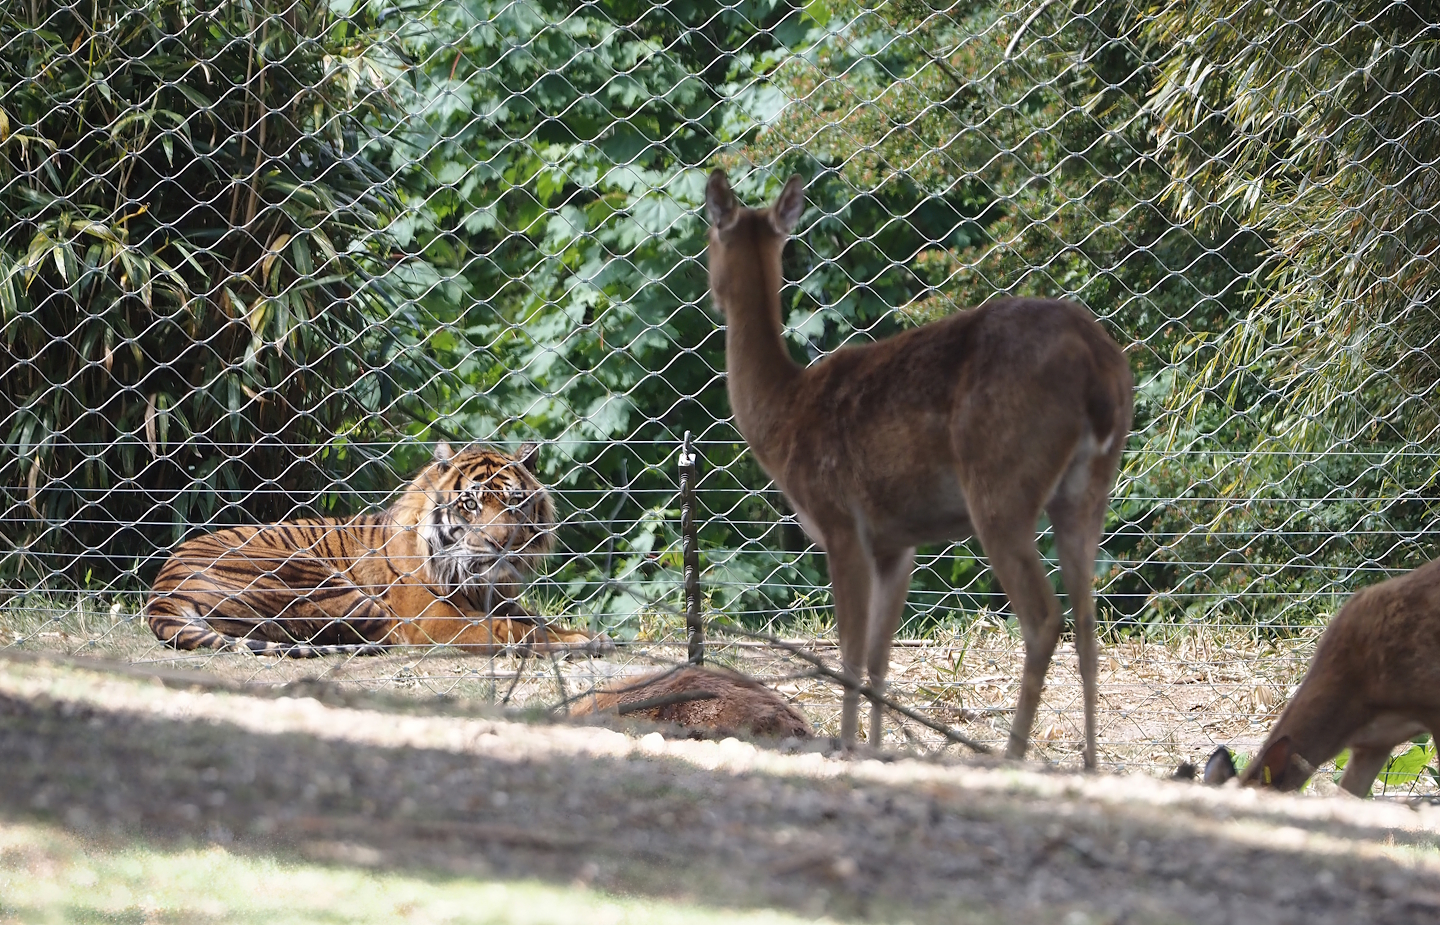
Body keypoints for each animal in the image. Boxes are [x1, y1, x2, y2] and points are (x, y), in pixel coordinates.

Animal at [144, 442, 612, 657]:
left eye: (514, 503)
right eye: (470, 504)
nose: (499, 544)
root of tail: (159, 595)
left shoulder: (501, 599)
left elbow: (537, 619)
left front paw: (588, 636)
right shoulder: (433, 619)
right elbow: (514, 630)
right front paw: (581, 642)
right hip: (324, 584)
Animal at [704, 171, 1133, 765]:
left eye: (707, 239)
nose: (710, 292)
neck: (783, 414)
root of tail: (1098, 368)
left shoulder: (841, 520)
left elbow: (850, 652)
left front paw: (846, 746)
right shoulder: (897, 542)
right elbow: (879, 656)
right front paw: (875, 748)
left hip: (1000, 481)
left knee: (1045, 617)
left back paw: (1011, 755)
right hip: (1089, 487)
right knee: (1089, 624)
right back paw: (1090, 765)